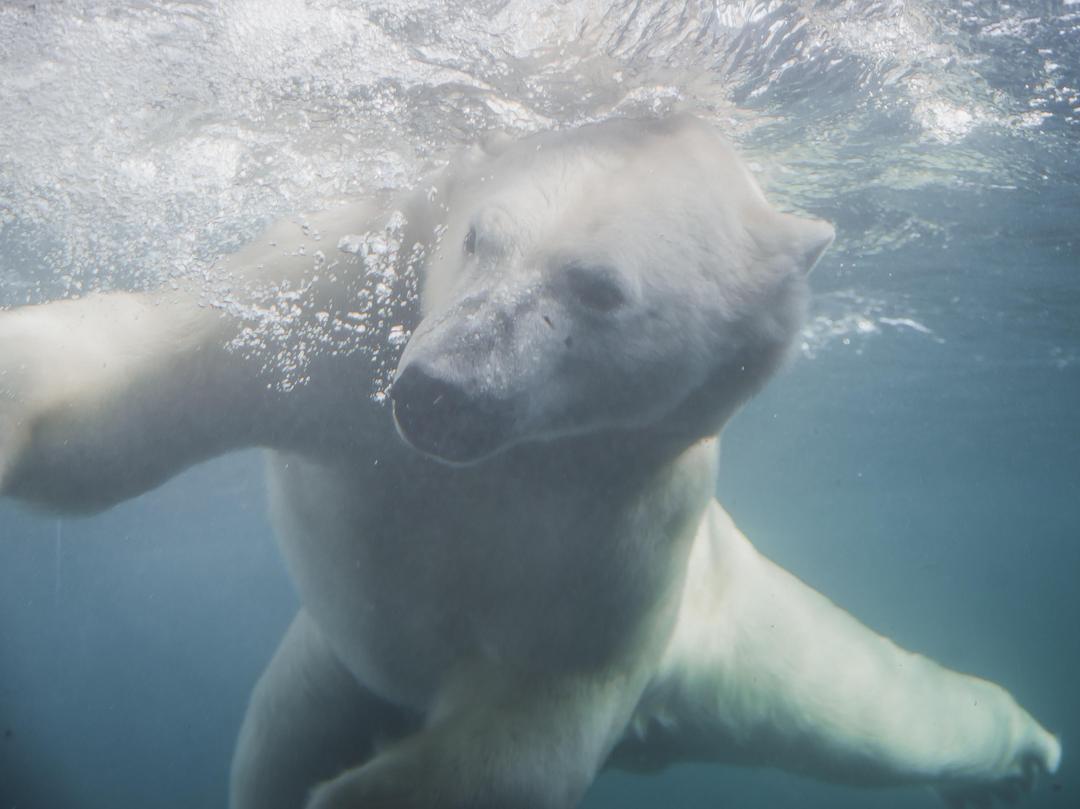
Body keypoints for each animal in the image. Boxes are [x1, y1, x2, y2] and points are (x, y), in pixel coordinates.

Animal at [0, 115, 1062, 807]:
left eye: (597, 288)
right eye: (481, 236)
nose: (437, 389)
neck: (516, 456)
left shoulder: (628, 520)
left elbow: (534, 718)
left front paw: (359, 792)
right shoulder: (331, 323)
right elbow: (128, 390)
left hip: (720, 619)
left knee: (869, 704)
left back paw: (1031, 744)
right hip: (332, 663)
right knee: (267, 750)